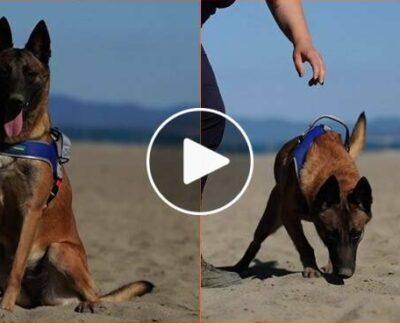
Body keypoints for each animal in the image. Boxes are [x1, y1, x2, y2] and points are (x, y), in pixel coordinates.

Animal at [0, 17, 152, 314]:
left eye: (30, 73)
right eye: (4, 71)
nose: (13, 101)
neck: (14, 143)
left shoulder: (31, 208)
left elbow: (16, 266)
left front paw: (5, 307)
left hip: (61, 251)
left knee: (94, 293)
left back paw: (90, 304)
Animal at [234, 112, 372, 280]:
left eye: (357, 234)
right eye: (331, 234)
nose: (344, 274)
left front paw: (328, 267)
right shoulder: (288, 216)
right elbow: (304, 245)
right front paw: (311, 268)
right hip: (271, 219)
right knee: (256, 241)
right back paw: (239, 266)